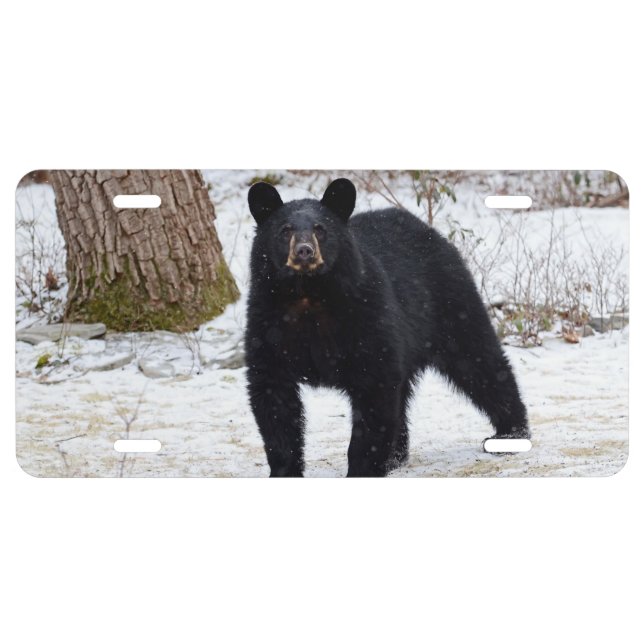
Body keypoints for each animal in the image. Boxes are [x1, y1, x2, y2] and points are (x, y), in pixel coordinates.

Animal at [245, 178, 529, 477]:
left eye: (320, 229)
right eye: (285, 230)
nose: (304, 251)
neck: (308, 293)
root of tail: (427, 229)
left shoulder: (366, 315)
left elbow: (373, 391)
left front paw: (361, 468)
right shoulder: (267, 321)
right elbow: (273, 395)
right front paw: (284, 470)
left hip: (449, 303)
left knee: (478, 360)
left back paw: (510, 434)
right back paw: (395, 457)